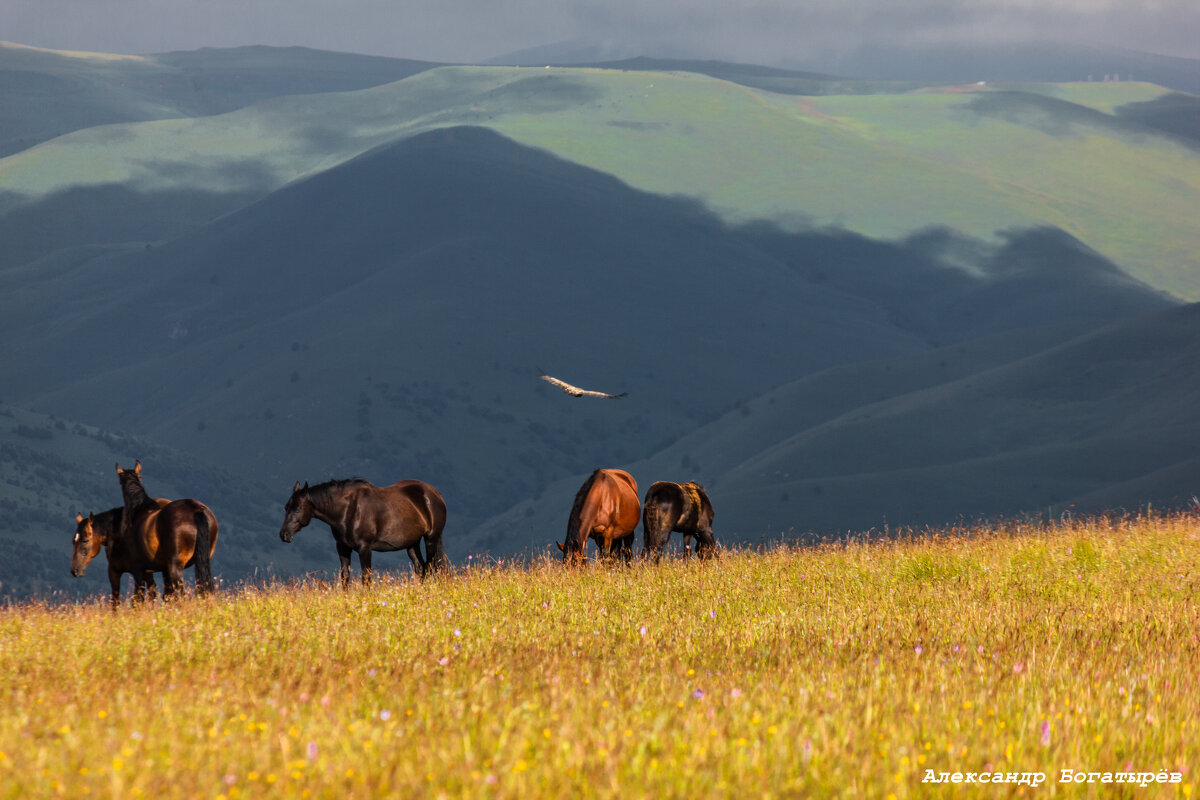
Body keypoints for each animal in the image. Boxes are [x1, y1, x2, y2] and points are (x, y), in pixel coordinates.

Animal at [115, 460, 218, 597]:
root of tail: (196, 509)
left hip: (175, 567)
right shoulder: (164, 570)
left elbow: (139, 595)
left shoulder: (138, 568)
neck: (141, 509)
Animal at [278, 479, 448, 585]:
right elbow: (345, 576)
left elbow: (366, 577)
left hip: (431, 538)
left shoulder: (364, 548)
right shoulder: (343, 548)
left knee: (432, 567)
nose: (284, 535)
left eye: (298, 508)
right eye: (286, 507)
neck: (349, 510)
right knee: (421, 568)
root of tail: (435, 493)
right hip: (412, 543)